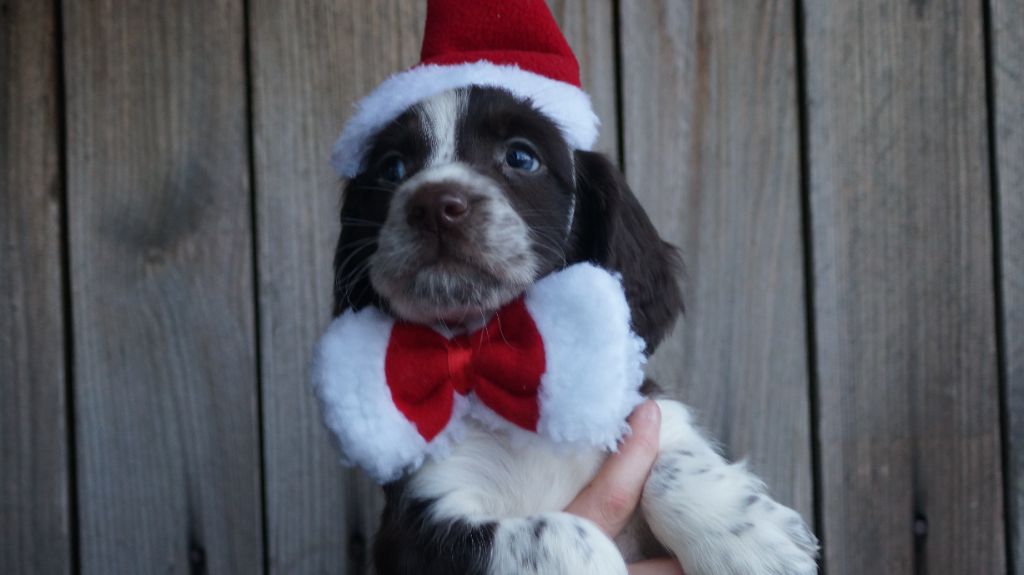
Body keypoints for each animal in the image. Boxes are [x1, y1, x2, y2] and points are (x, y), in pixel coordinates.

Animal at [327, 85, 815, 572]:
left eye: (521, 157)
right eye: (392, 168)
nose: (432, 205)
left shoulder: (643, 416)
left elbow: (674, 462)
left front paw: (752, 540)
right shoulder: (413, 527)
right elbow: (558, 534)